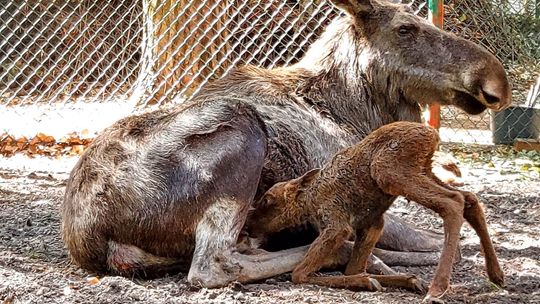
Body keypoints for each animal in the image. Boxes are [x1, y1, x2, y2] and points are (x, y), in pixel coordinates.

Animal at [247, 120, 504, 302]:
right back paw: (496, 275)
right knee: (468, 198)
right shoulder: (372, 224)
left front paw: (368, 282)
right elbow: (353, 268)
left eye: (267, 200)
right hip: (423, 170)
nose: (249, 225)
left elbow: (299, 273)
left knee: (453, 202)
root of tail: (433, 135)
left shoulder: (337, 225)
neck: (310, 202)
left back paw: (436, 289)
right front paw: (405, 280)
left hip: (389, 171)